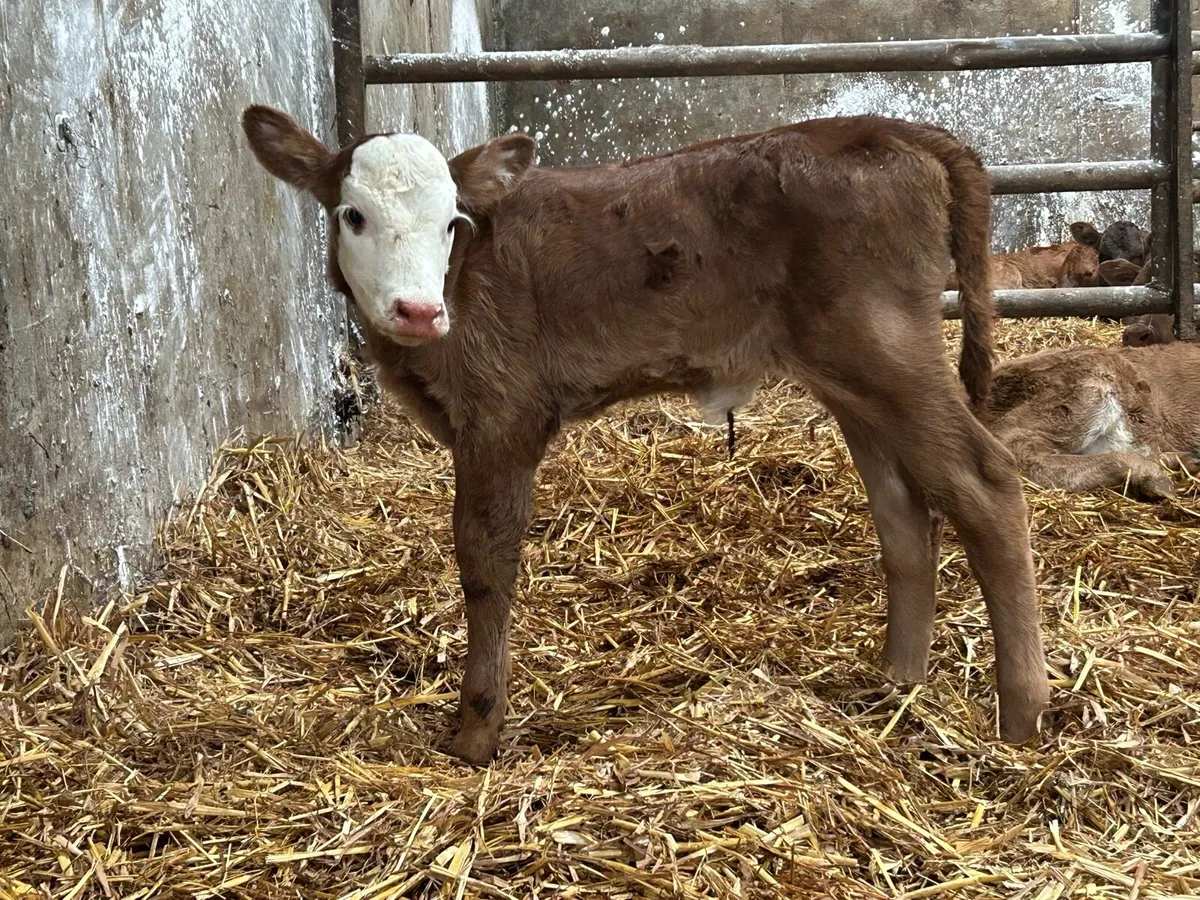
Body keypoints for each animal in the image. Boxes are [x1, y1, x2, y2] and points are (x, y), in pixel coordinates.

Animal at [241, 105, 1050, 764]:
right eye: (352, 216)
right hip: (852, 373)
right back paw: (894, 686)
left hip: (884, 345)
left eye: (451, 223)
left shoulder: (503, 414)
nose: (417, 310)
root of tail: (891, 128)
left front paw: (476, 732)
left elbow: (485, 561)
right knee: (904, 513)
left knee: (984, 481)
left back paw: (1021, 716)